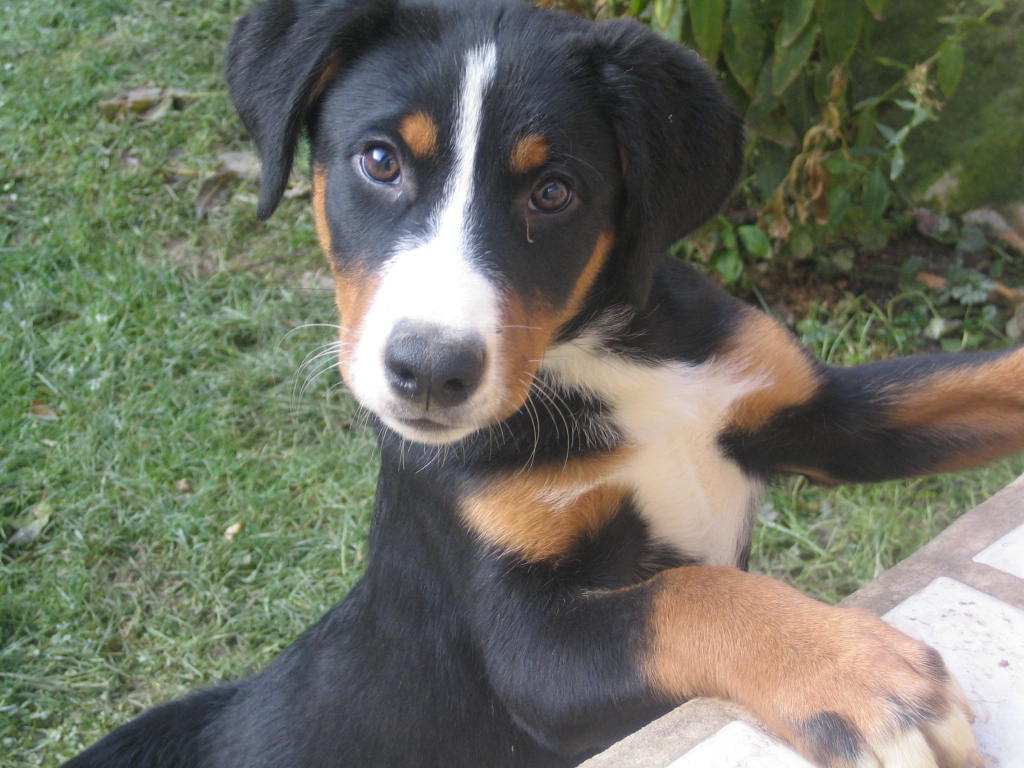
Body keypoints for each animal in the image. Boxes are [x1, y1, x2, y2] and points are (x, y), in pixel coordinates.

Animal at [66, 0, 1024, 765]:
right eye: (379, 161)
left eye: (555, 191)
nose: (429, 371)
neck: (598, 358)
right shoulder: (529, 652)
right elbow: (690, 597)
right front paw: (863, 675)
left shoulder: (818, 413)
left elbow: (973, 384)